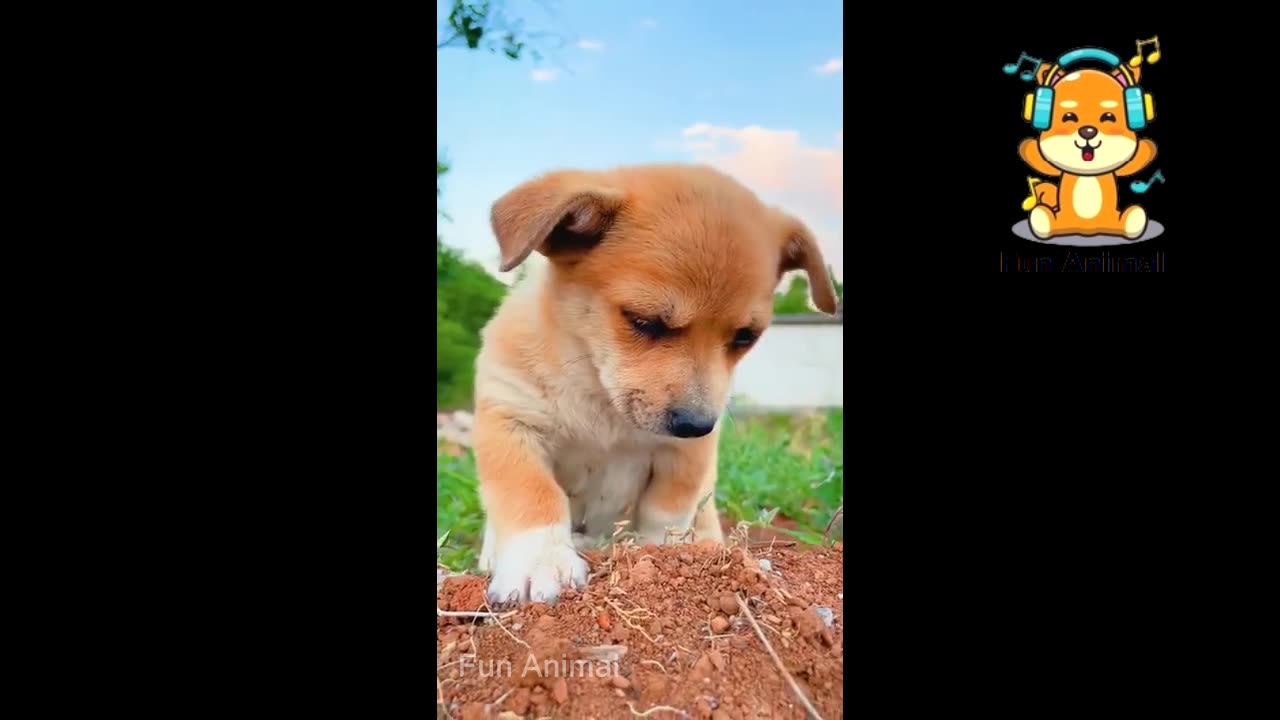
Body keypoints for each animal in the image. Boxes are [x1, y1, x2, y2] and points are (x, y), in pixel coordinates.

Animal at [471, 163, 839, 604]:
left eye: (744, 337)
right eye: (644, 321)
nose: (697, 425)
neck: (599, 395)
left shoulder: (686, 458)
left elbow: (666, 509)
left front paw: (664, 555)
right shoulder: (511, 421)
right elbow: (531, 494)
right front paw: (539, 561)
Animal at [1018, 64, 1162, 238]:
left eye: (1108, 117)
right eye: (1069, 117)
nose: (1087, 131)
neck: (1087, 173)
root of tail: (1087, 229)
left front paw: (1148, 146)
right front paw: (1027, 146)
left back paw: (1133, 218)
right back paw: (1042, 218)